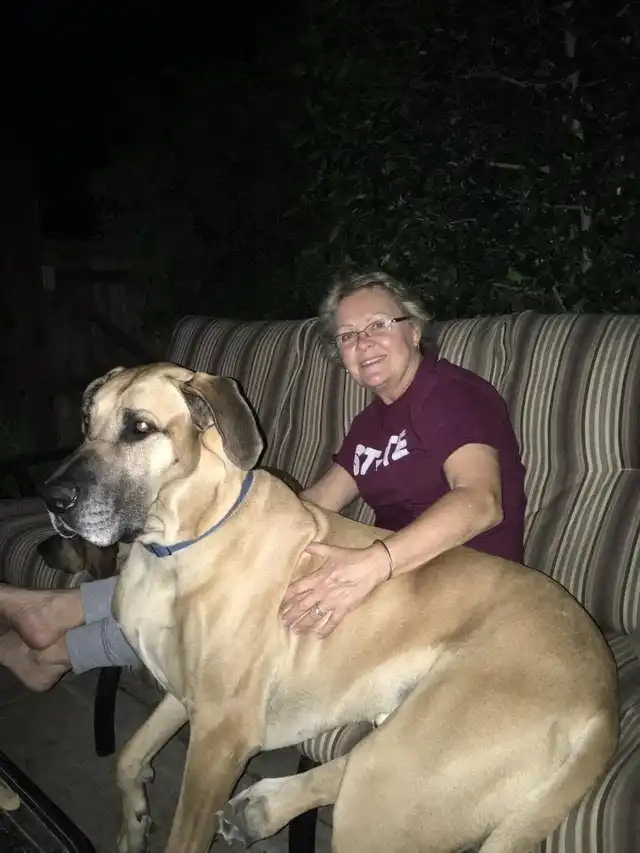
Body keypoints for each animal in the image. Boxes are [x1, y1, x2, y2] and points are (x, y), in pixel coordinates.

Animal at [40, 363, 619, 853]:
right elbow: (128, 755)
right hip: (397, 749)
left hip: (399, 770)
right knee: (351, 763)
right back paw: (262, 809)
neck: (178, 545)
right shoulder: (186, 696)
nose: (52, 498)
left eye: (139, 427)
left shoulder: (220, 732)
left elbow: (183, 834)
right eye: (88, 421)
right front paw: (134, 821)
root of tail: (605, 701)